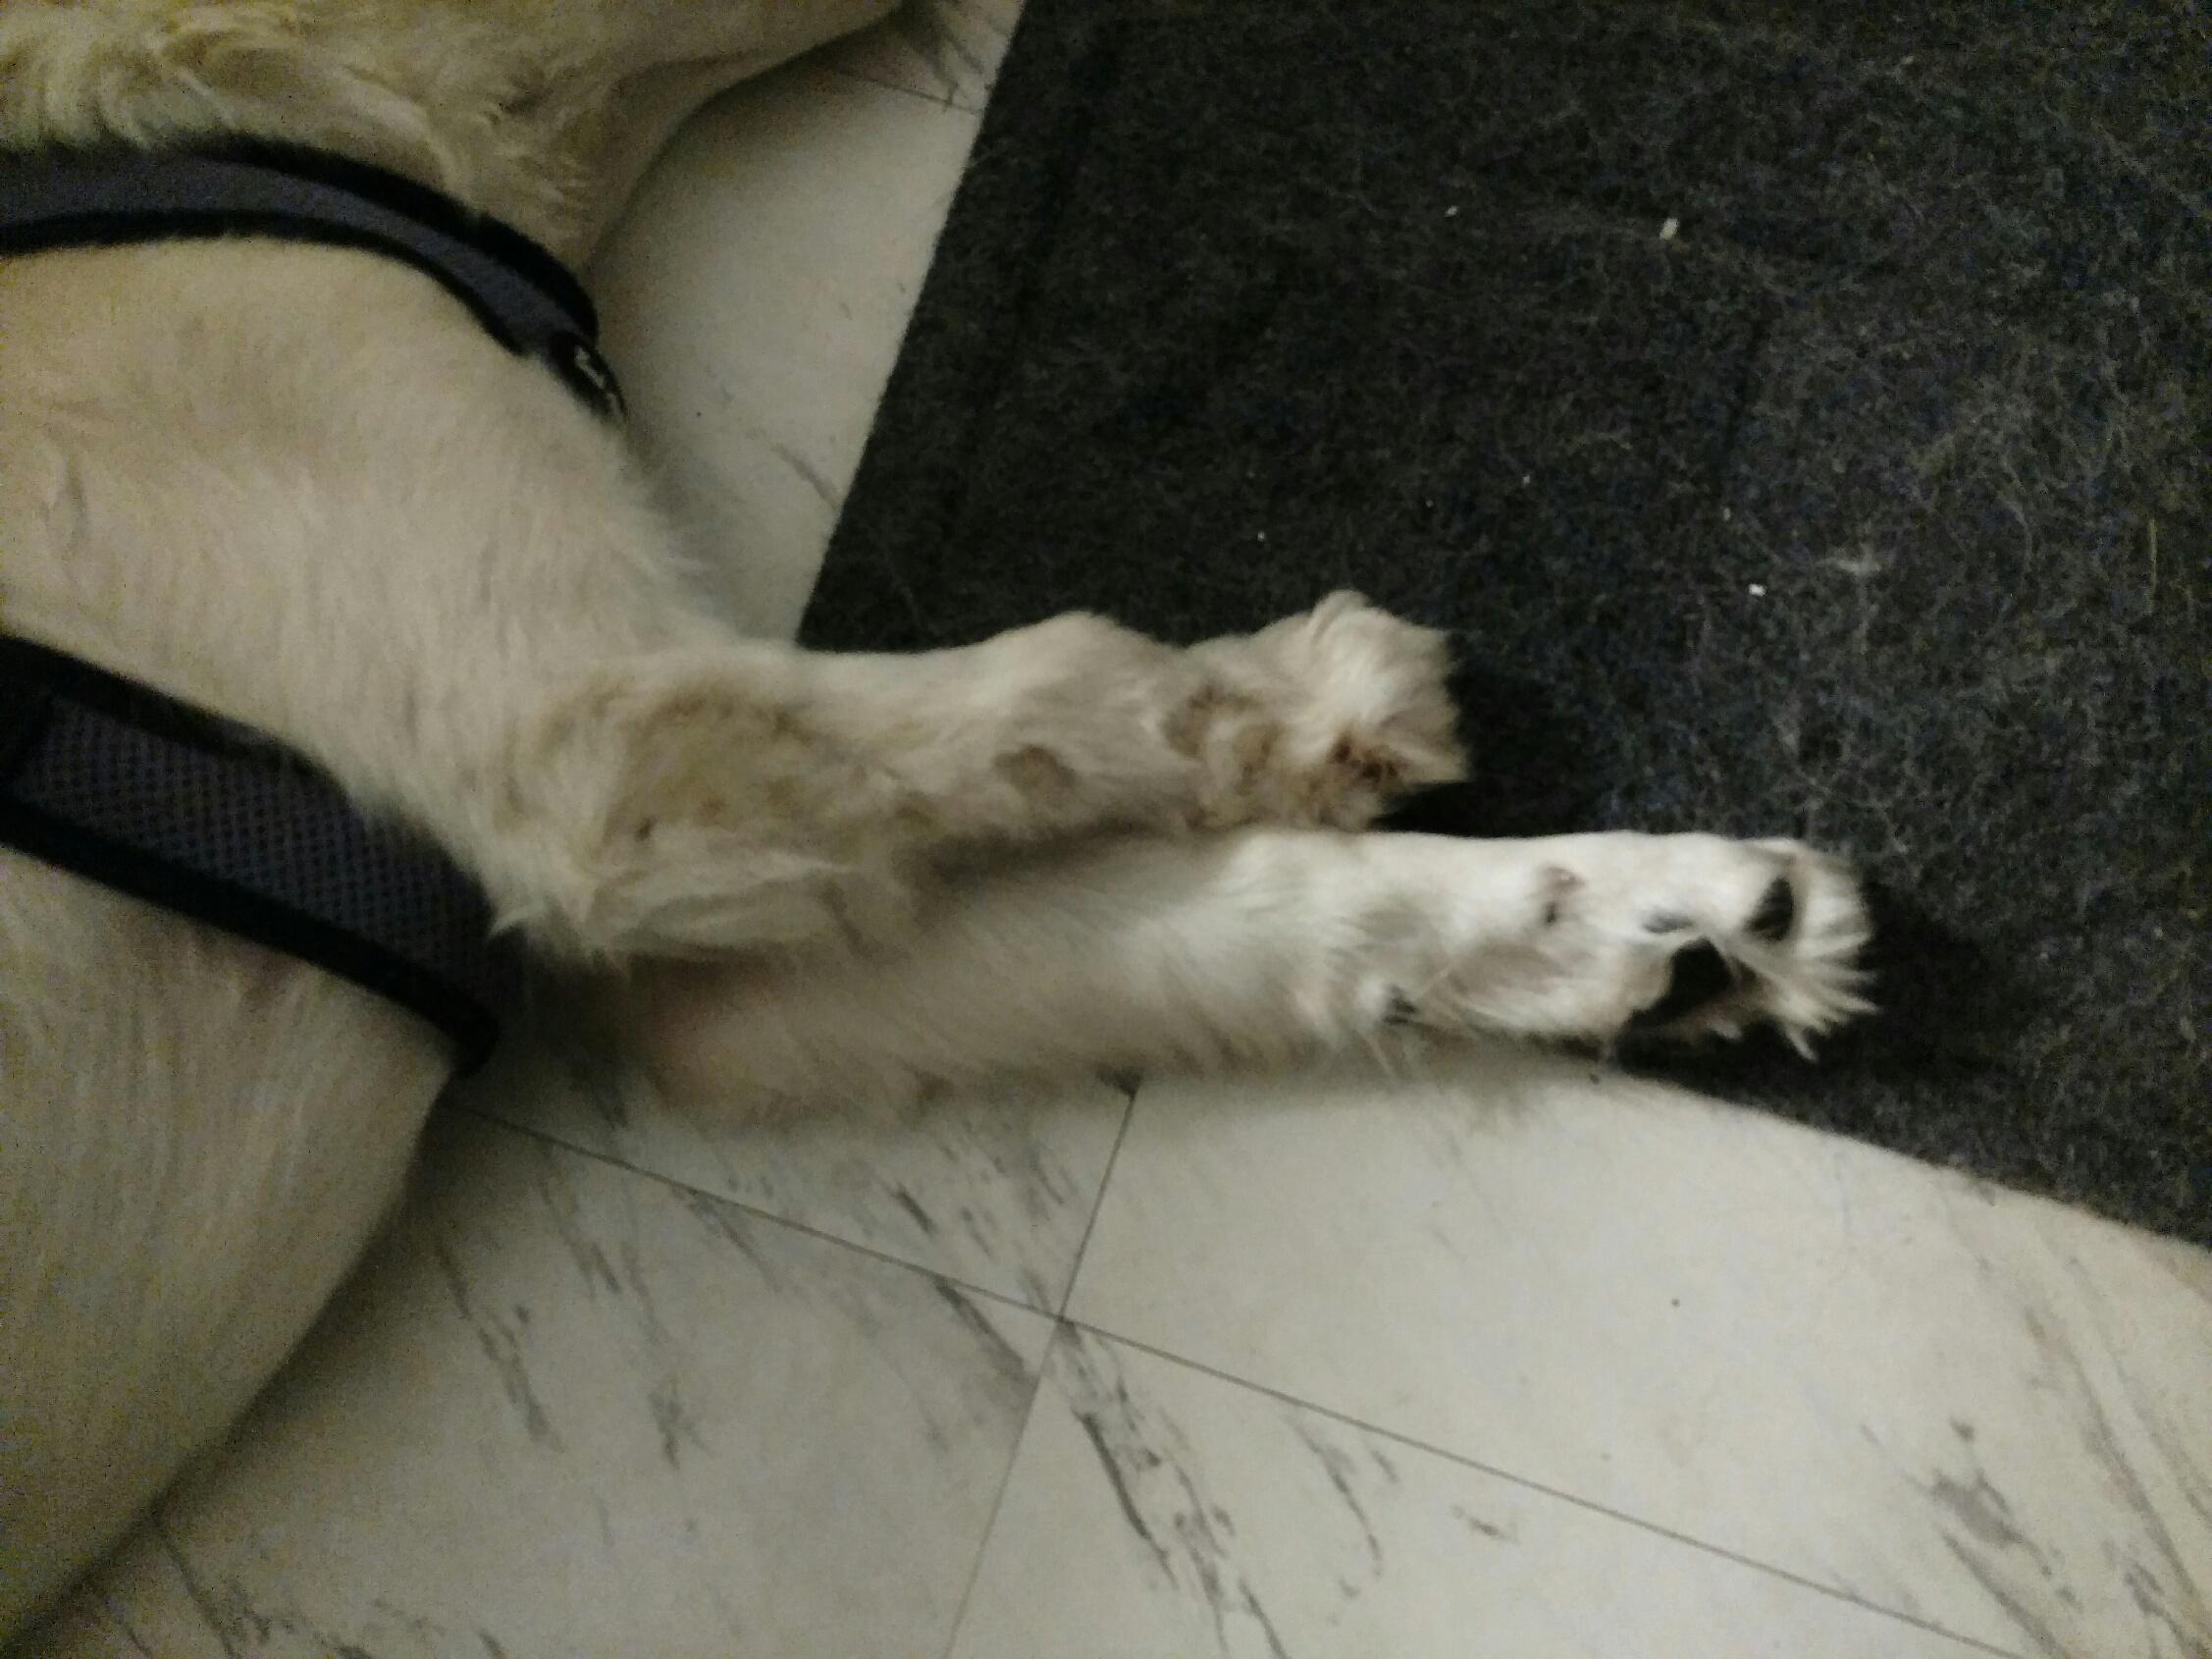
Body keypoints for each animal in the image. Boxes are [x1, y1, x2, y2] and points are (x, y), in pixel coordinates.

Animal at [0, 0, 1873, 1634]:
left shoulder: (712, 980)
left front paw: (1651, 926)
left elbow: (1250, 905)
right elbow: (1068, 672)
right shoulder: (608, 762)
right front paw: (1309, 696)